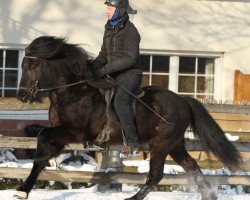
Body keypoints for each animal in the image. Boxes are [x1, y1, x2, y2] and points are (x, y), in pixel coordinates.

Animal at [15, 36, 240, 200]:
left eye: (32, 67)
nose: (22, 96)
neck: (73, 92)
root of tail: (183, 100)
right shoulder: (61, 136)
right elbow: (41, 156)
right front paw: (24, 189)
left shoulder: (74, 132)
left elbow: (42, 142)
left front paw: (22, 190)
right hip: (175, 145)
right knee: (192, 166)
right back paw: (208, 196)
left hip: (161, 143)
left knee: (156, 175)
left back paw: (132, 199)